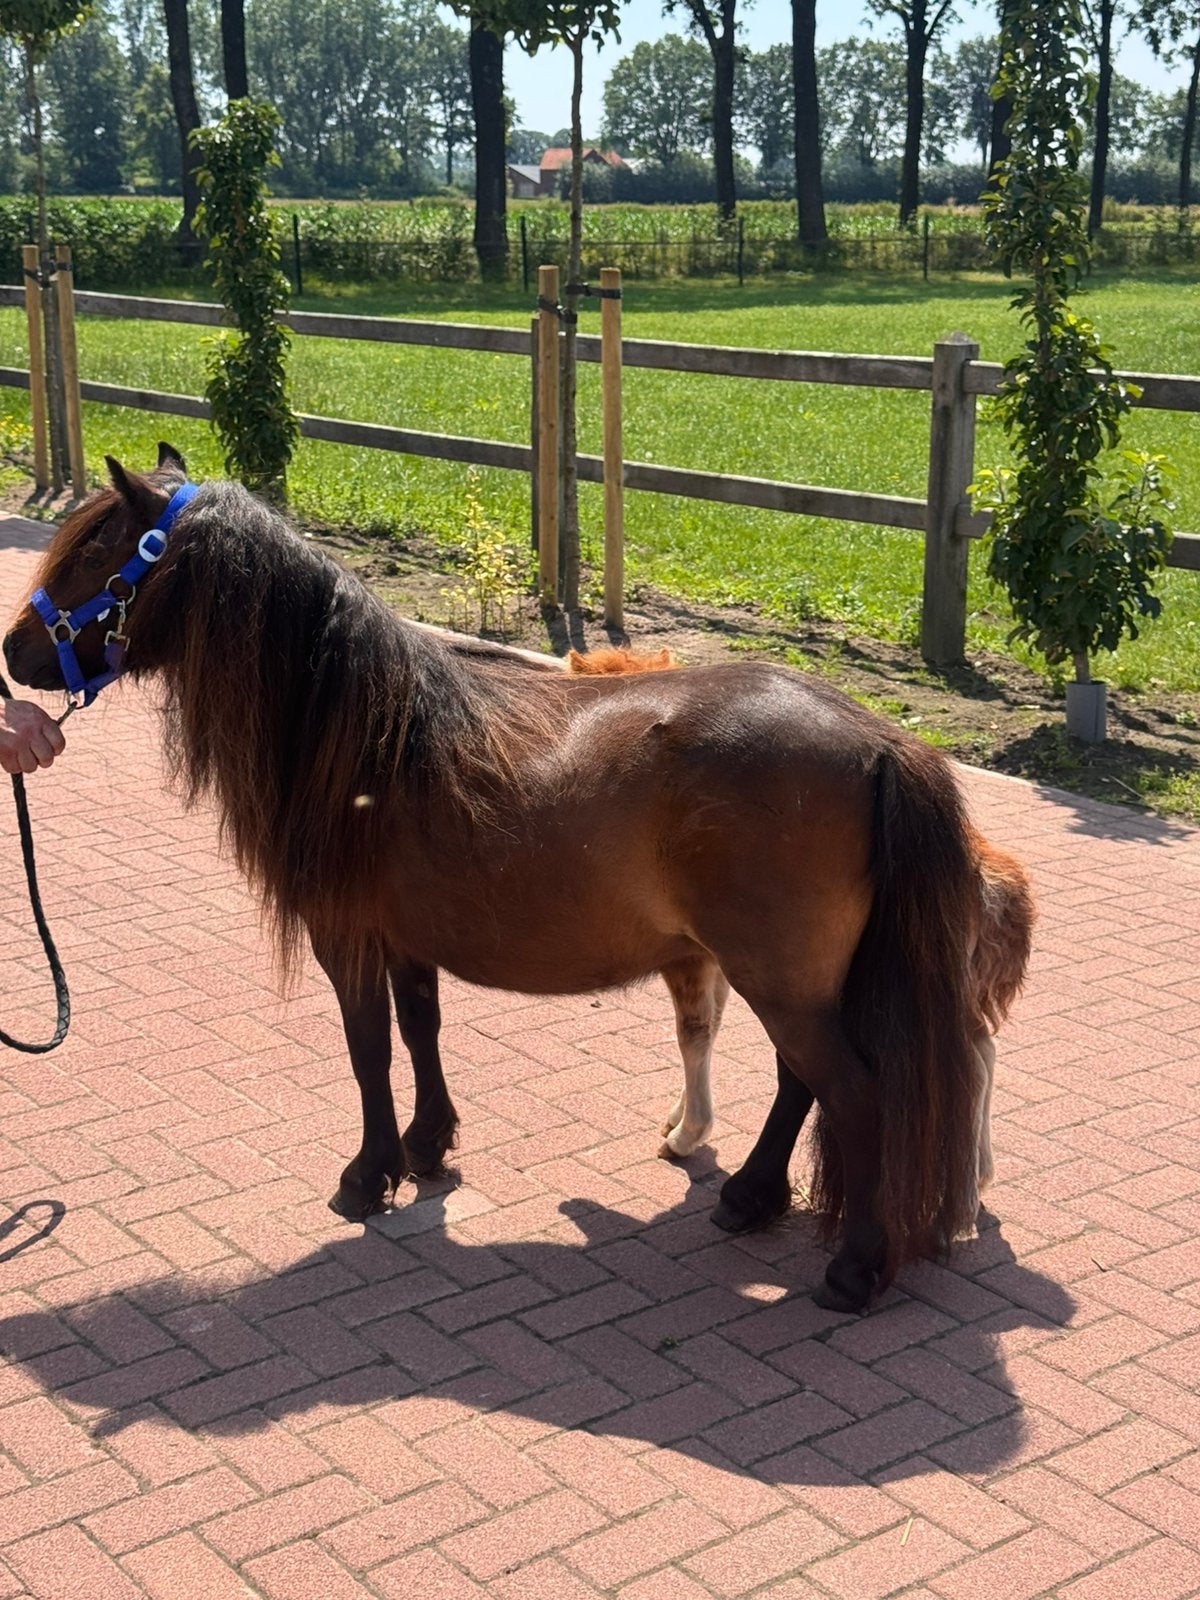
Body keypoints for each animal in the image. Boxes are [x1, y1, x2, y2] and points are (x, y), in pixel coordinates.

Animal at [4, 448, 1032, 1314]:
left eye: (96, 551)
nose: (13, 652)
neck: (364, 730)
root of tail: (880, 740)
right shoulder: (405, 938)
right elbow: (421, 1032)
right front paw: (427, 1149)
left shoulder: (348, 936)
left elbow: (367, 1051)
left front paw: (367, 1175)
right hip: (794, 980)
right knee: (799, 1083)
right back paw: (748, 1197)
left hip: (783, 979)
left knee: (853, 1095)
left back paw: (853, 1269)